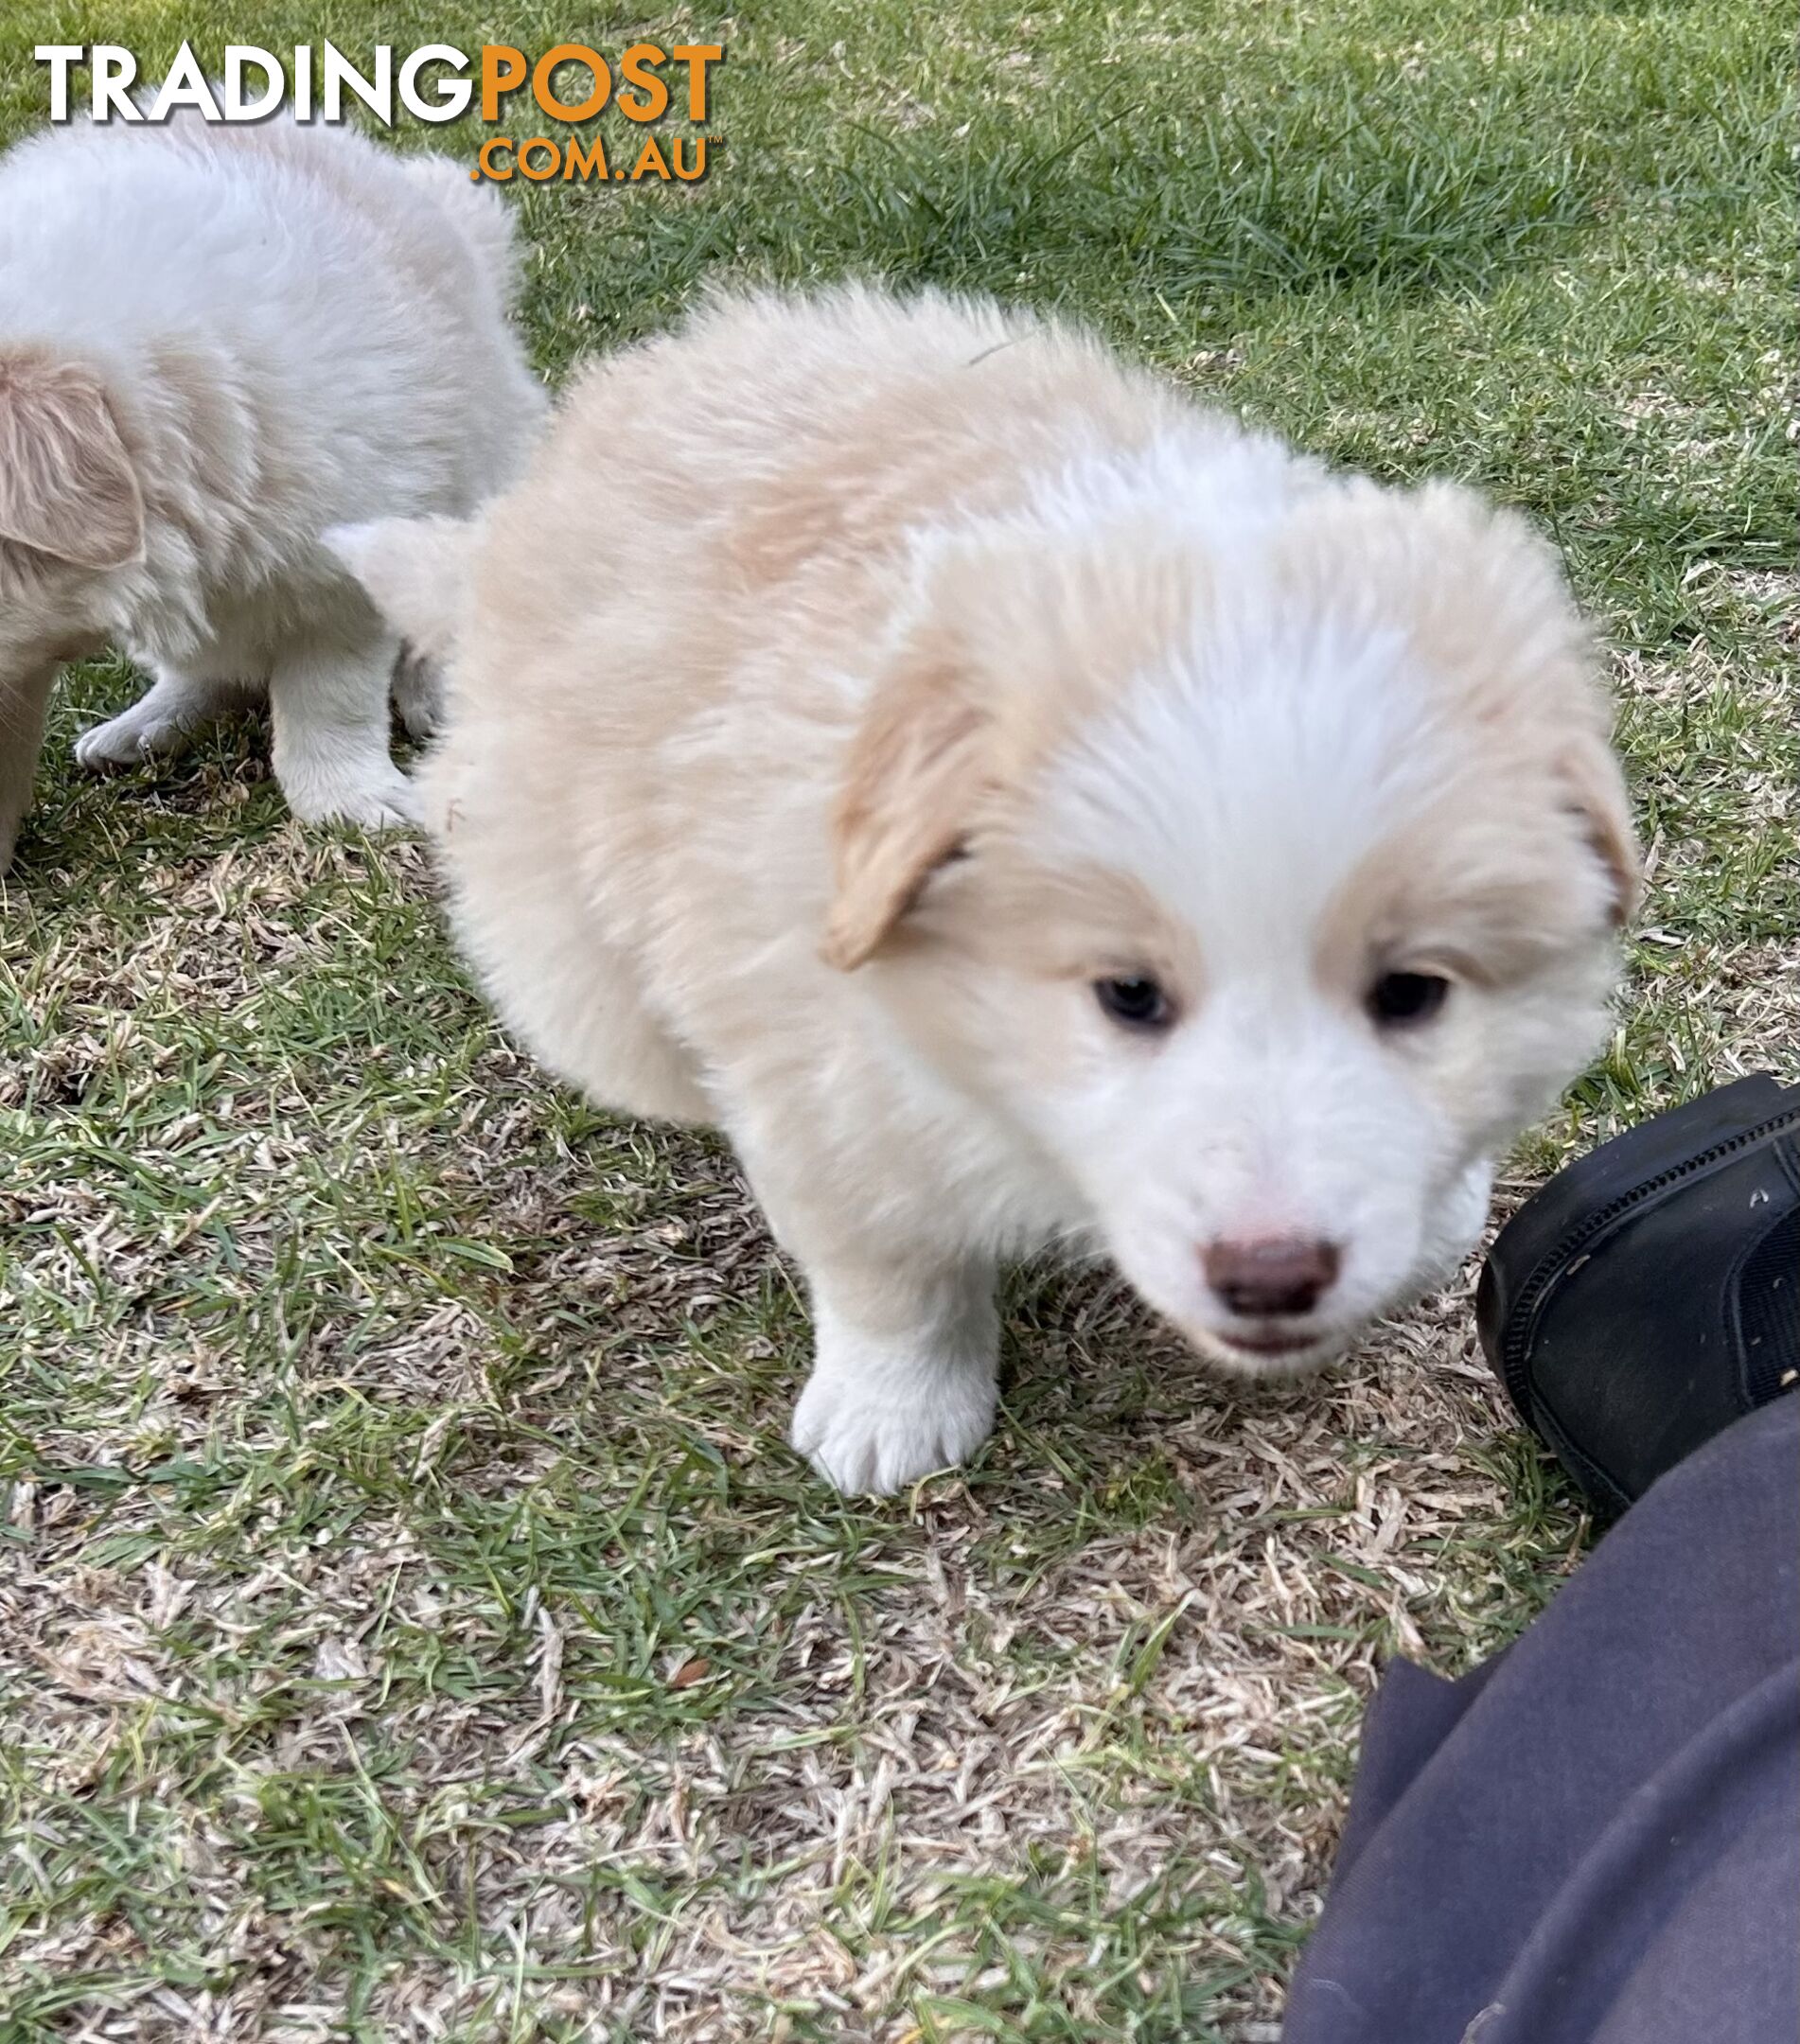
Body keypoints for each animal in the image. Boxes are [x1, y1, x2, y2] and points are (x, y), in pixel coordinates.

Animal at [330, 288, 1634, 1496]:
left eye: (1412, 994)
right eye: (1127, 995)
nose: (1272, 1275)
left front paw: (1442, 1216)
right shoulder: (821, 1082)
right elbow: (889, 1271)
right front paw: (891, 1414)